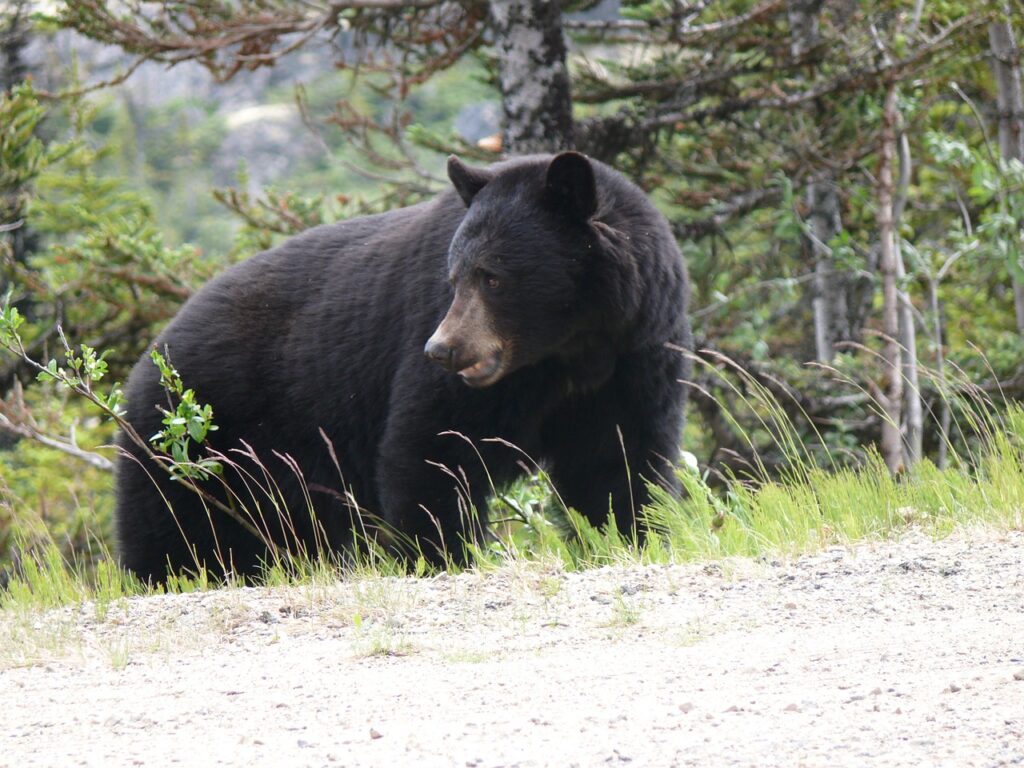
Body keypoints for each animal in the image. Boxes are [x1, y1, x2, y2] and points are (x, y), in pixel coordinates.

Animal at [116, 151, 692, 581]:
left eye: (493, 277)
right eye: (454, 276)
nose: (442, 349)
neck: (568, 352)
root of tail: (148, 359)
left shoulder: (634, 358)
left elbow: (617, 461)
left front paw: (628, 536)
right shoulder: (457, 374)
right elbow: (431, 449)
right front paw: (443, 554)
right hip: (193, 442)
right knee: (174, 530)